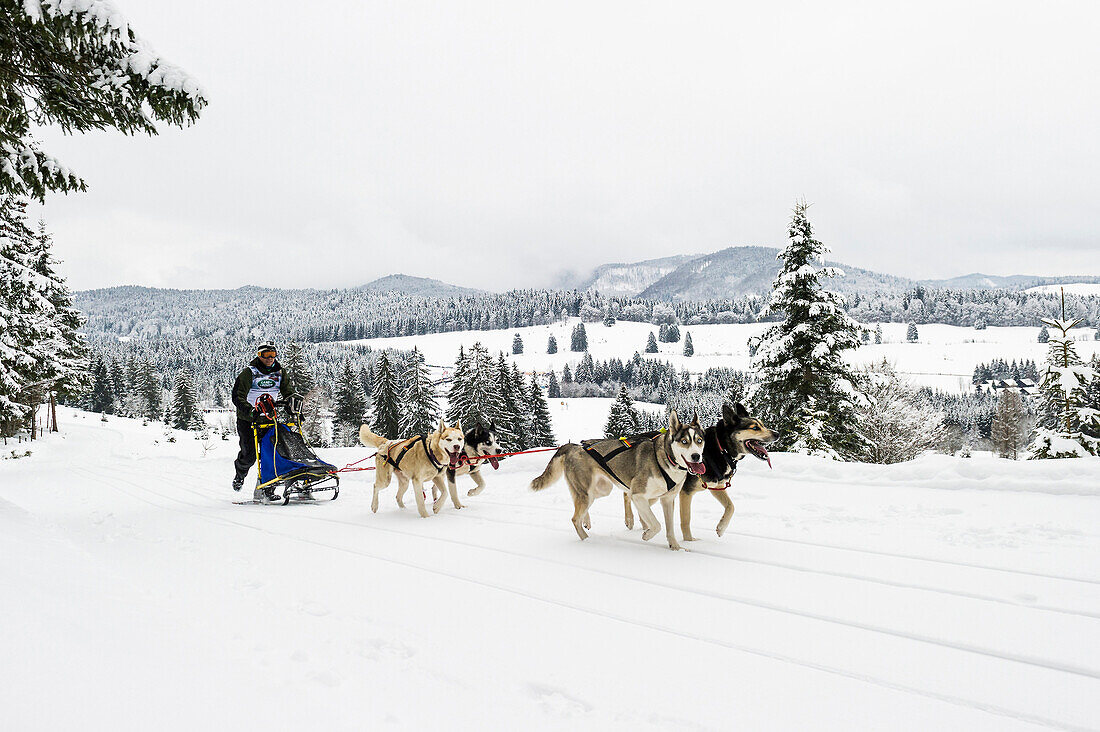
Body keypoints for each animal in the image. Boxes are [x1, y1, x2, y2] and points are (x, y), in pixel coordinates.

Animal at [530, 411, 704, 548]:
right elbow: (656, 524)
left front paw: (675, 547)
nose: (696, 456)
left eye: (699, 441)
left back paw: (587, 521)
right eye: (684, 441)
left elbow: (669, 528)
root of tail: (574, 446)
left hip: (601, 489)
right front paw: (647, 534)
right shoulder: (638, 495)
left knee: (580, 506)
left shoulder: (667, 499)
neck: (665, 459)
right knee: (575, 518)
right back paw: (587, 540)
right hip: (588, 492)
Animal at [624, 402, 778, 539]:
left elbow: (731, 506)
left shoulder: (716, 487)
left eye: (762, 424)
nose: (777, 433)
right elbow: (686, 520)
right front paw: (689, 541)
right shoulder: (686, 492)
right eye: (755, 427)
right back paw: (630, 519)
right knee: (628, 496)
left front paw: (721, 527)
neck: (721, 449)